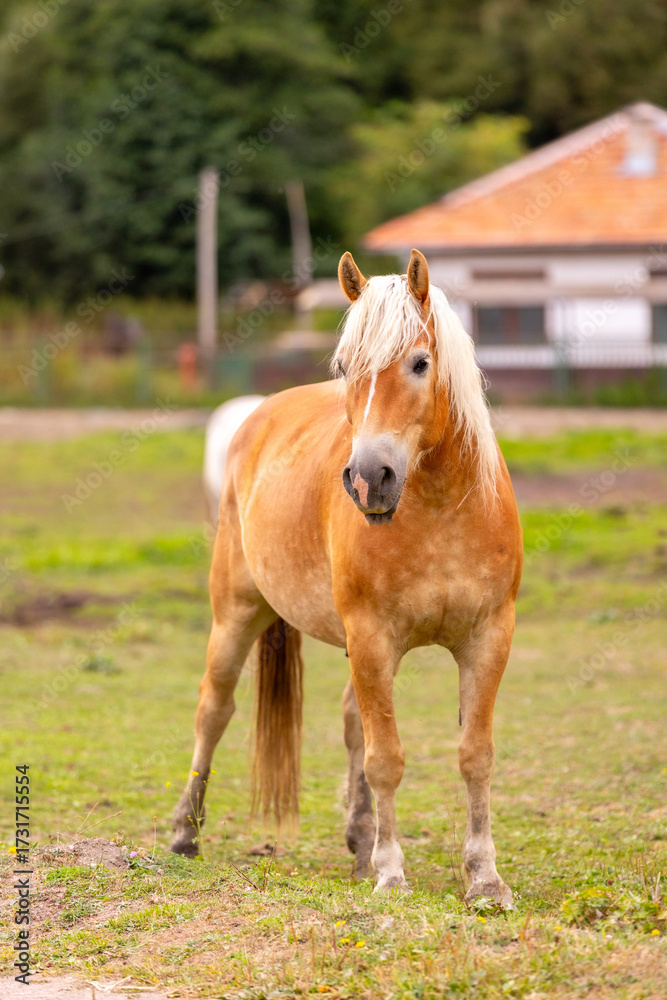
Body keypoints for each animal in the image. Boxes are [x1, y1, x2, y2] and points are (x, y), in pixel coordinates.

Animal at [171, 249, 522, 906]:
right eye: (343, 366)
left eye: (420, 363)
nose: (368, 478)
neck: (439, 512)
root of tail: (256, 414)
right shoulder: (372, 637)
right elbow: (386, 759)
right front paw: (391, 872)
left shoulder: (488, 638)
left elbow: (475, 755)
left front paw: (485, 878)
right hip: (237, 612)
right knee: (214, 708)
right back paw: (184, 833)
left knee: (350, 721)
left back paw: (360, 841)